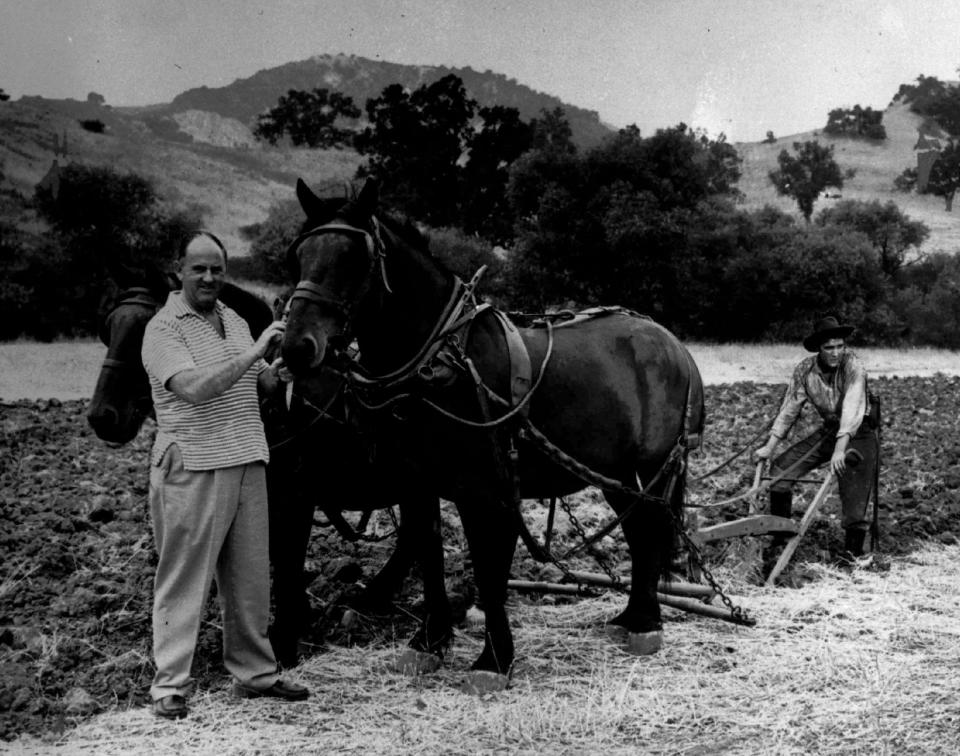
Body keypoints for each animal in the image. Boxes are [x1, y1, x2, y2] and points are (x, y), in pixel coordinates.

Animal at [88, 264, 452, 668]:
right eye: (107, 328)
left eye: (145, 331)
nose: (102, 416)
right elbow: (278, 555)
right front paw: (298, 617)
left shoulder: (296, 494)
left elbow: (288, 556)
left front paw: (285, 637)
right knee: (415, 533)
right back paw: (377, 596)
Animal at [278, 180, 704, 692]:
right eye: (298, 256)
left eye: (352, 258)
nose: (296, 347)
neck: (440, 359)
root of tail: (673, 343)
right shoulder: (417, 484)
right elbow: (429, 553)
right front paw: (429, 642)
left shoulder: (483, 489)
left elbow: (487, 568)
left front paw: (493, 660)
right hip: (616, 474)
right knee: (640, 533)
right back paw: (631, 617)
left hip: (652, 468)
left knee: (652, 531)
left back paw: (646, 623)